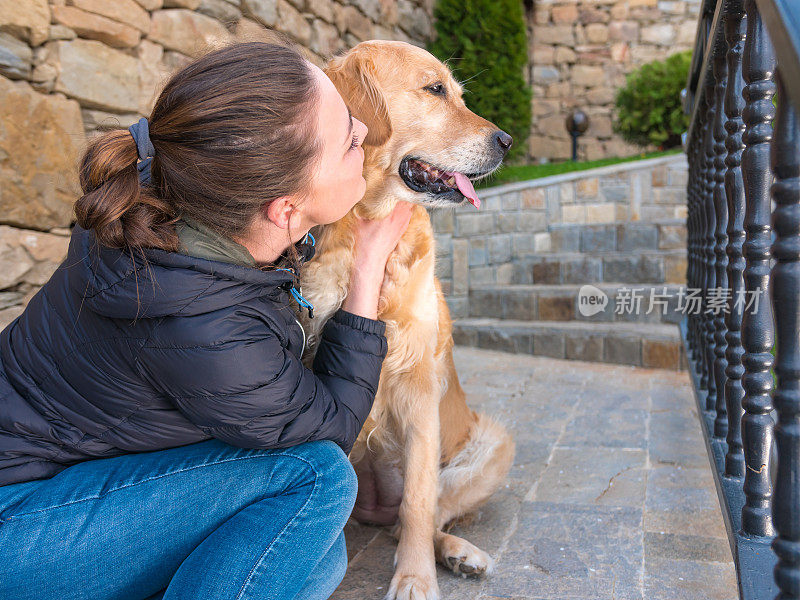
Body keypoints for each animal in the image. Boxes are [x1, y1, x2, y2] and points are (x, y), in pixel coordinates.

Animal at [296, 39, 516, 596]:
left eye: (458, 92)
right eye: (434, 89)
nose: (507, 141)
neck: (363, 226)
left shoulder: (419, 384)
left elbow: (418, 503)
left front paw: (415, 579)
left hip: (493, 444)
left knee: (421, 515)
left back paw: (459, 553)